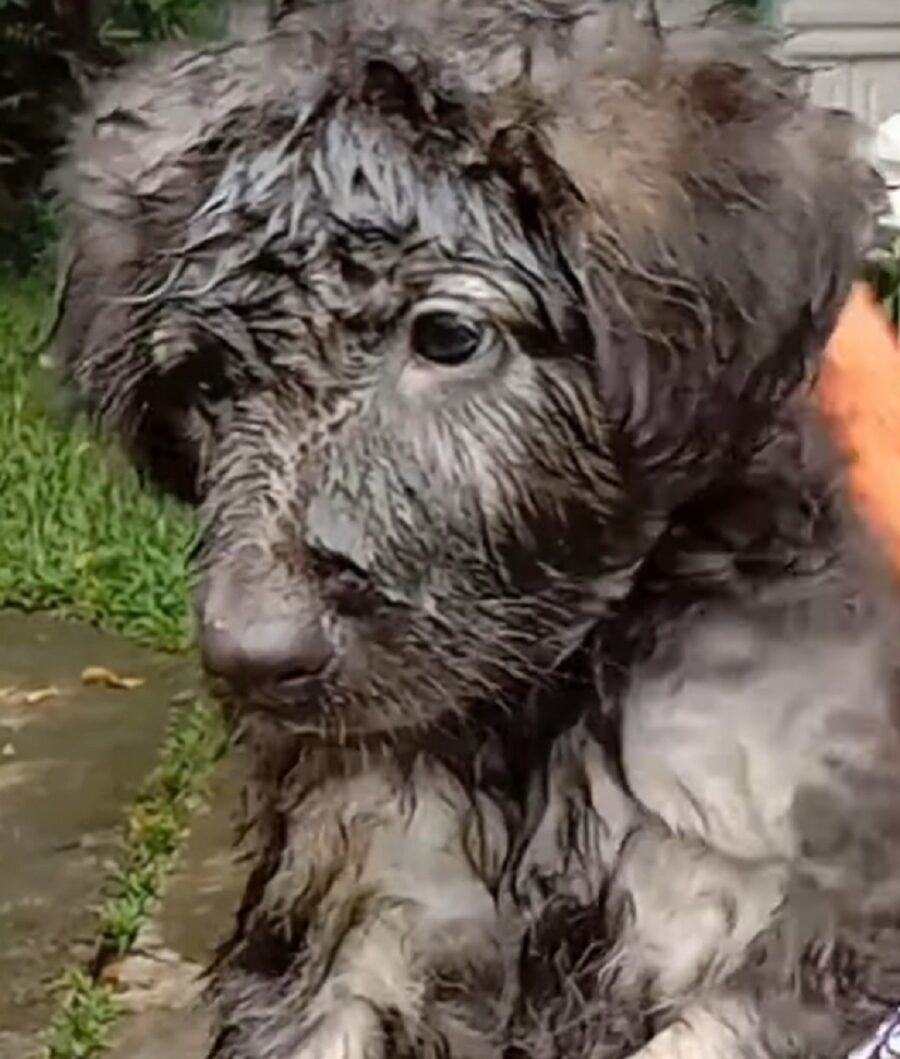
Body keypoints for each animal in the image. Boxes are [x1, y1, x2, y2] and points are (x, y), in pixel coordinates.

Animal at [49, 2, 897, 1059]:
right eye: (204, 382)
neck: (542, 709)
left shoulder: (767, 911)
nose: (250, 661)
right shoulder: (362, 908)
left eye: (448, 336)